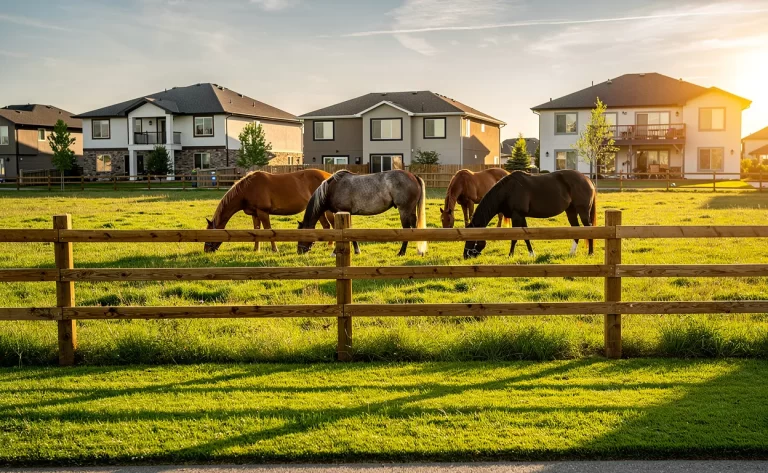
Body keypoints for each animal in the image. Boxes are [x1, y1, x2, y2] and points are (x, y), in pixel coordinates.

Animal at [204, 169, 335, 253]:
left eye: (210, 234)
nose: (206, 250)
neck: (248, 189)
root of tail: (330, 175)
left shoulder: (263, 212)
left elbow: (268, 230)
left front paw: (274, 249)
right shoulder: (255, 214)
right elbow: (256, 231)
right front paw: (256, 250)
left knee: (332, 225)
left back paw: (330, 246)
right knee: (326, 225)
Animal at [297, 170, 427, 256]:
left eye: (303, 234)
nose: (299, 251)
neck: (332, 189)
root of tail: (413, 176)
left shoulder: (343, 211)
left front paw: (335, 252)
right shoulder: (347, 214)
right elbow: (349, 231)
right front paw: (356, 250)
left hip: (404, 210)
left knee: (407, 230)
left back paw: (401, 252)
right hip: (411, 211)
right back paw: (419, 250)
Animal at [463, 170, 597, 259]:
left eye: (471, 239)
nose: (465, 255)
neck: (508, 190)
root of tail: (587, 180)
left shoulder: (517, 216)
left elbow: (514, 238)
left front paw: (510, 255)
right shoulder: (521, 216)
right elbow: (526, 237)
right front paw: (532, 254)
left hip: (583, 211)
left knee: (589, 229)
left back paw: (590, 253)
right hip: (571, 211)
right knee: (576, 230)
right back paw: (572, 253)